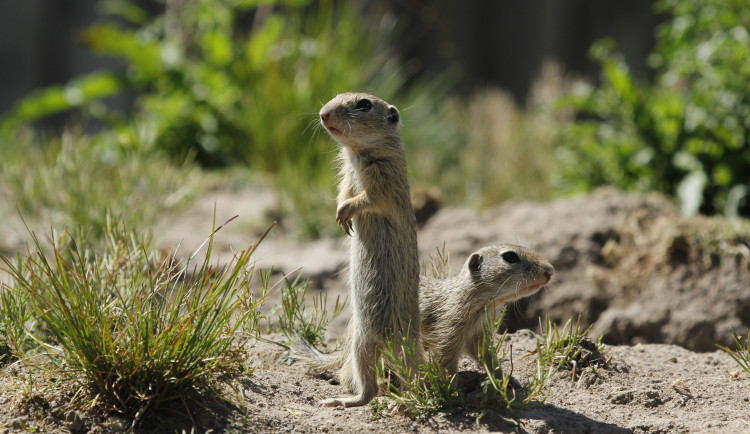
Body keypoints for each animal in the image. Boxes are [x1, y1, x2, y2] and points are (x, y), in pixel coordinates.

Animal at [318, 91, 424, 406]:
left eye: (363, 104)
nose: (323, 114)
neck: (358, 154)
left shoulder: (384, 180)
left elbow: (367, 198)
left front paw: (346, 212)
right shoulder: (346, 178)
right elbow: (344, 193)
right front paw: (340, 216)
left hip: (373, 344)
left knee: (384, 387)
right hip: (361, 345)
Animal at [424, 244, 552, 372]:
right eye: (510, 256)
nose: (550, 270)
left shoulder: (478, 333)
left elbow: (485, 355)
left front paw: (499, 375)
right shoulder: (447, 333)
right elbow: (446, 363)